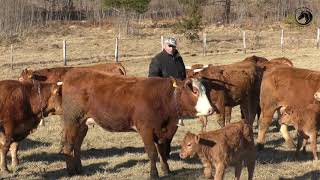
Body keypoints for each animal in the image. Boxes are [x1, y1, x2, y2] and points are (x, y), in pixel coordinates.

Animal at [61, 69, 214, 178]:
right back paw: (71, 172)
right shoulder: (145, 129)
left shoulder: (162, 131)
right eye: (195, 91)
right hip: (72, 120)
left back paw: (80, 169)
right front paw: (154, 174)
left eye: (205, 91)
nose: (210, 110)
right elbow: (152, 153)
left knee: (77, 145)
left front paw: (167, 170)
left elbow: (162, 152)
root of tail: (72, 73)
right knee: (68, 145)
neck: (163, 98)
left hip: (82, 124)